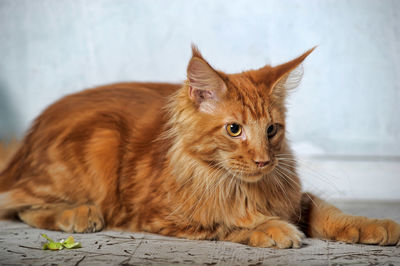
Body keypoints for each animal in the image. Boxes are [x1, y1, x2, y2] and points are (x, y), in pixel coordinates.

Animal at [0, 44, 400, 248]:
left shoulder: (294, 196)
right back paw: (79, 214)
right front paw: (271, 228)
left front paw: (372, 224)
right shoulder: (160, 217)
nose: (263, 161)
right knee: (21, 206)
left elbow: (329, 212)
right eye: (234, 130)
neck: (238, 187)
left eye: (272, 130)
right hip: (99, 142)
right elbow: (225, 223)